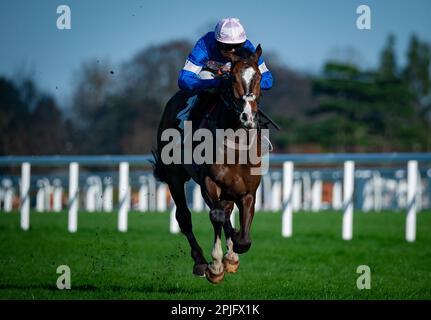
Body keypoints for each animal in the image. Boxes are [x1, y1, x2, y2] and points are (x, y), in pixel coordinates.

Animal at [152, 44, 266, 282]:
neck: (236, 145)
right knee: (184, 217)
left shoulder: (248, 191)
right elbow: (217, 216)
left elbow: (243, 237)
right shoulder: (208, 182)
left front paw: (232, 255)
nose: (247, 117)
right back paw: (200, 261)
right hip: (174, 176)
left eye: (259, 77)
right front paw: (216, 265)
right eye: (232, 77)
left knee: (226, 212)